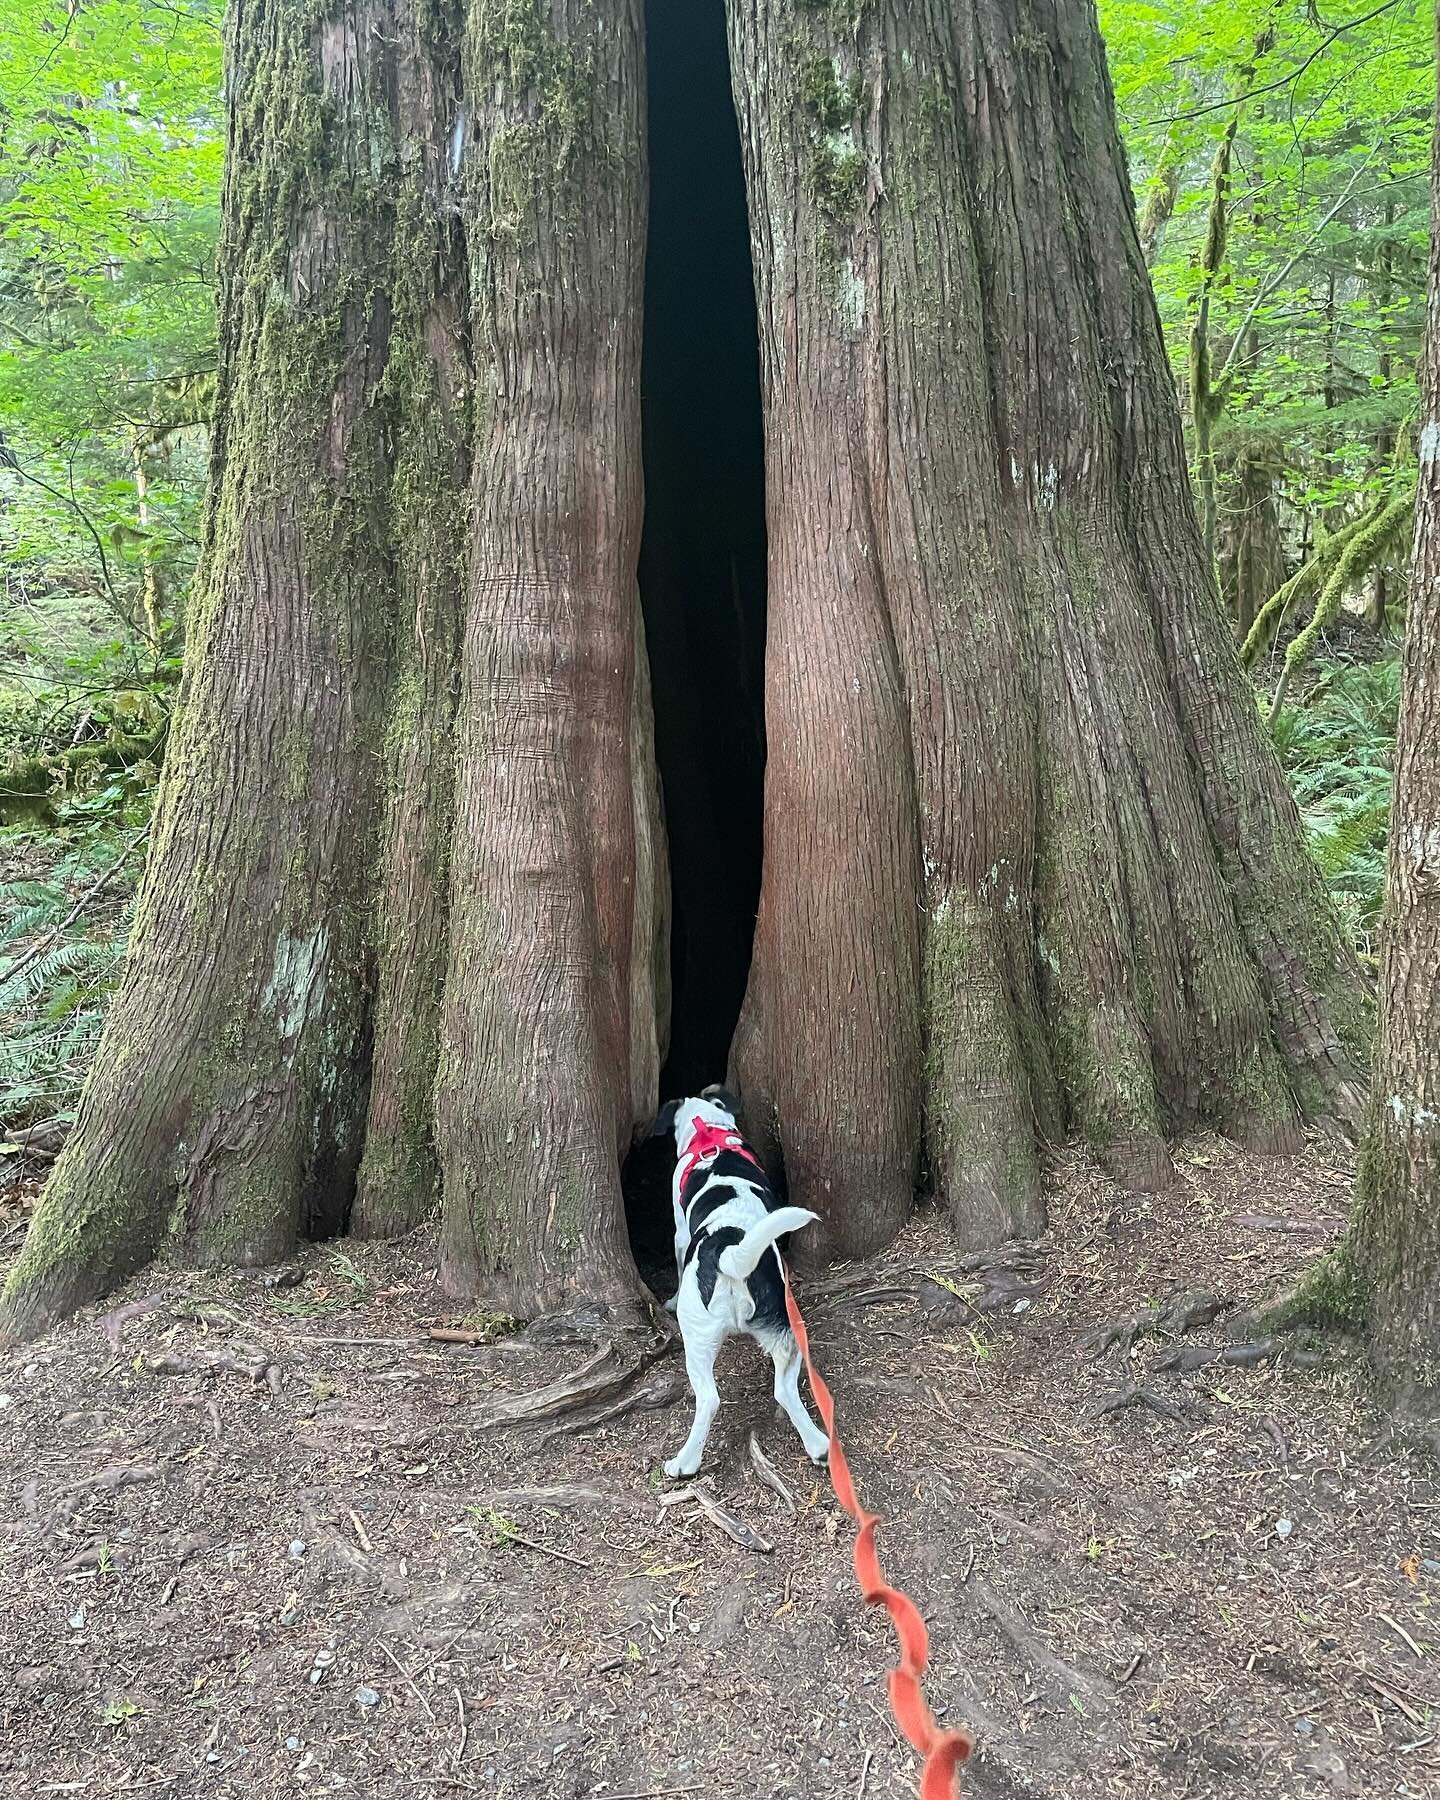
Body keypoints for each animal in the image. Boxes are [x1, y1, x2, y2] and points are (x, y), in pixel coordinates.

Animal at [648, 1080, 828, 1476]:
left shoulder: (679, 1233)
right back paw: (820, 1446)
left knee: (709, 1399)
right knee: (783, 1390)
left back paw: (684, 1462)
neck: (708, 1132)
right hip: (785, 1331)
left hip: (694, 1335)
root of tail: (728, 1251)